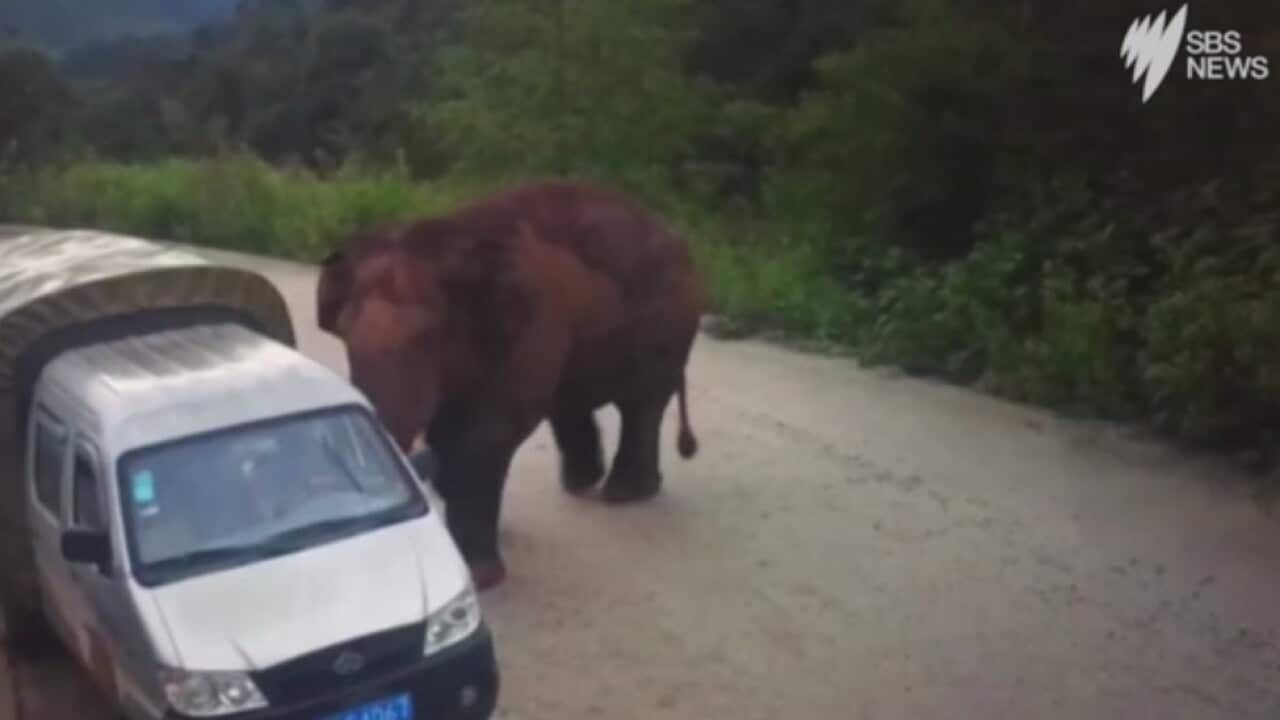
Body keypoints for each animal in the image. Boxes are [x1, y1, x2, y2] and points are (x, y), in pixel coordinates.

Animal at [316, 180, 706, 590]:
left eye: (427, 338)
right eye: (344, 335)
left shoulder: (532, 325)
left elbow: (489, 432)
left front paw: (481, 576)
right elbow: (448, 431)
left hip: (667, 325)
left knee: (641, 404)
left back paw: (622, 493)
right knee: (571, 402)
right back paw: (583, 482)